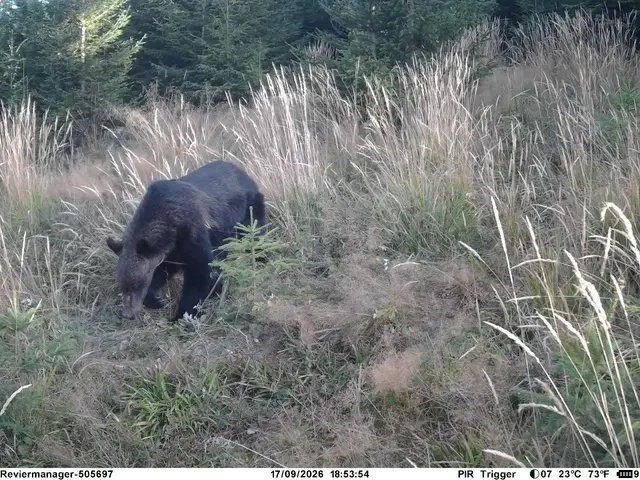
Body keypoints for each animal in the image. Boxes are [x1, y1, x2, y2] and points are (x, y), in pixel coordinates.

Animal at [106, 160, 267, 321]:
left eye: (135, 285)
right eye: (122, 285)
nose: (128, 314)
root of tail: (244, 172)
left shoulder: (192, 232)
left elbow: (200, 272)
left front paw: (182, 314)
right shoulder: (170, 249)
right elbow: (164, 269)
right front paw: (156, 299)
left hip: (248, 213)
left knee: (257, 236)